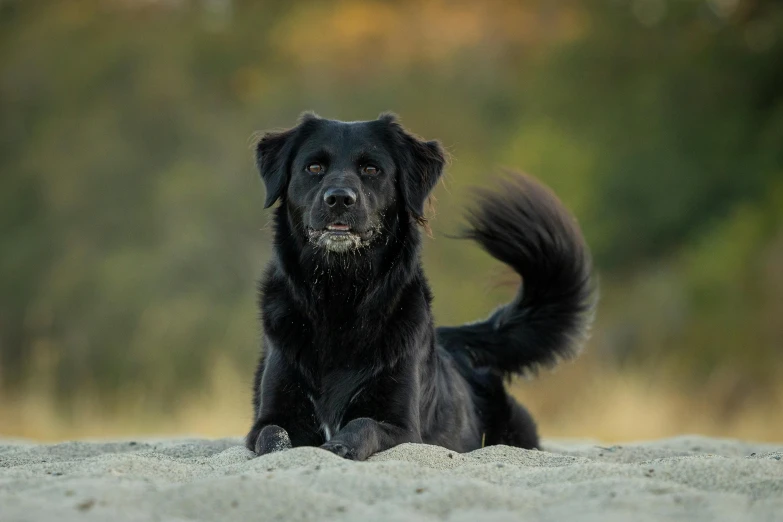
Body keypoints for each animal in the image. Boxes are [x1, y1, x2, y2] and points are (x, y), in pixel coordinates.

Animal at [245, 111, 596, 458]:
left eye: (371, 169)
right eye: (314, 167)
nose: (340, 199)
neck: (339, 295)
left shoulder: (403, 427)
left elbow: (364, 425)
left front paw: (340, 446)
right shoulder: (268, 418)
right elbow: (273, 434)